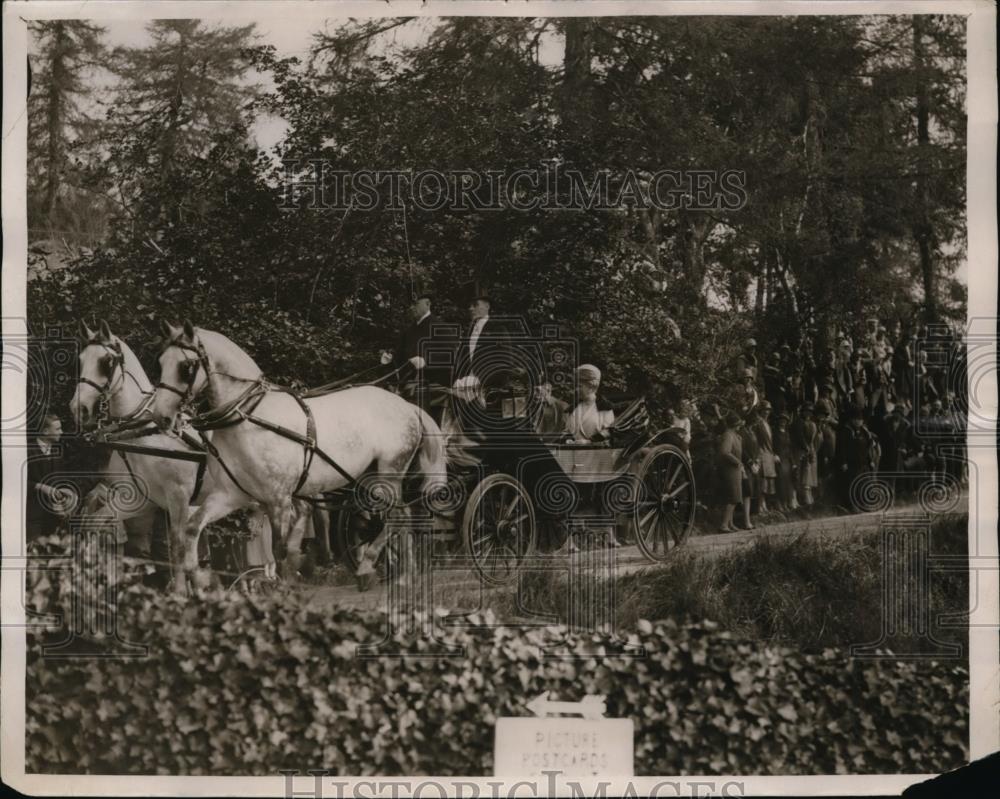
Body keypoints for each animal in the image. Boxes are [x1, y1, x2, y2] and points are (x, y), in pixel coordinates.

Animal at [69, 318, 221, 588]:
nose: (79, 409)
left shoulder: (178, 495)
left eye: (106, 362)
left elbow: (176, 549)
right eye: (81, 359)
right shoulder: (140, 499)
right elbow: (92, 524)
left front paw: (180, 593)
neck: (143, 435)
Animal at [148, 322, 446, 592]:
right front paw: (201, 580)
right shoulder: (233, 494)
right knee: (402, 517)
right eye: (160, 363)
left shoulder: (279, 498)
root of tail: (406, 406)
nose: (160, 417)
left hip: (389, 473)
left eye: (186, 367)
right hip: (371, 478)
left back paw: (371, 568)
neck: (248, 416)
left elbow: (279, 550)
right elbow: (191, 529)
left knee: (398, 518)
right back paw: (404, 575)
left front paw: (285, 586)